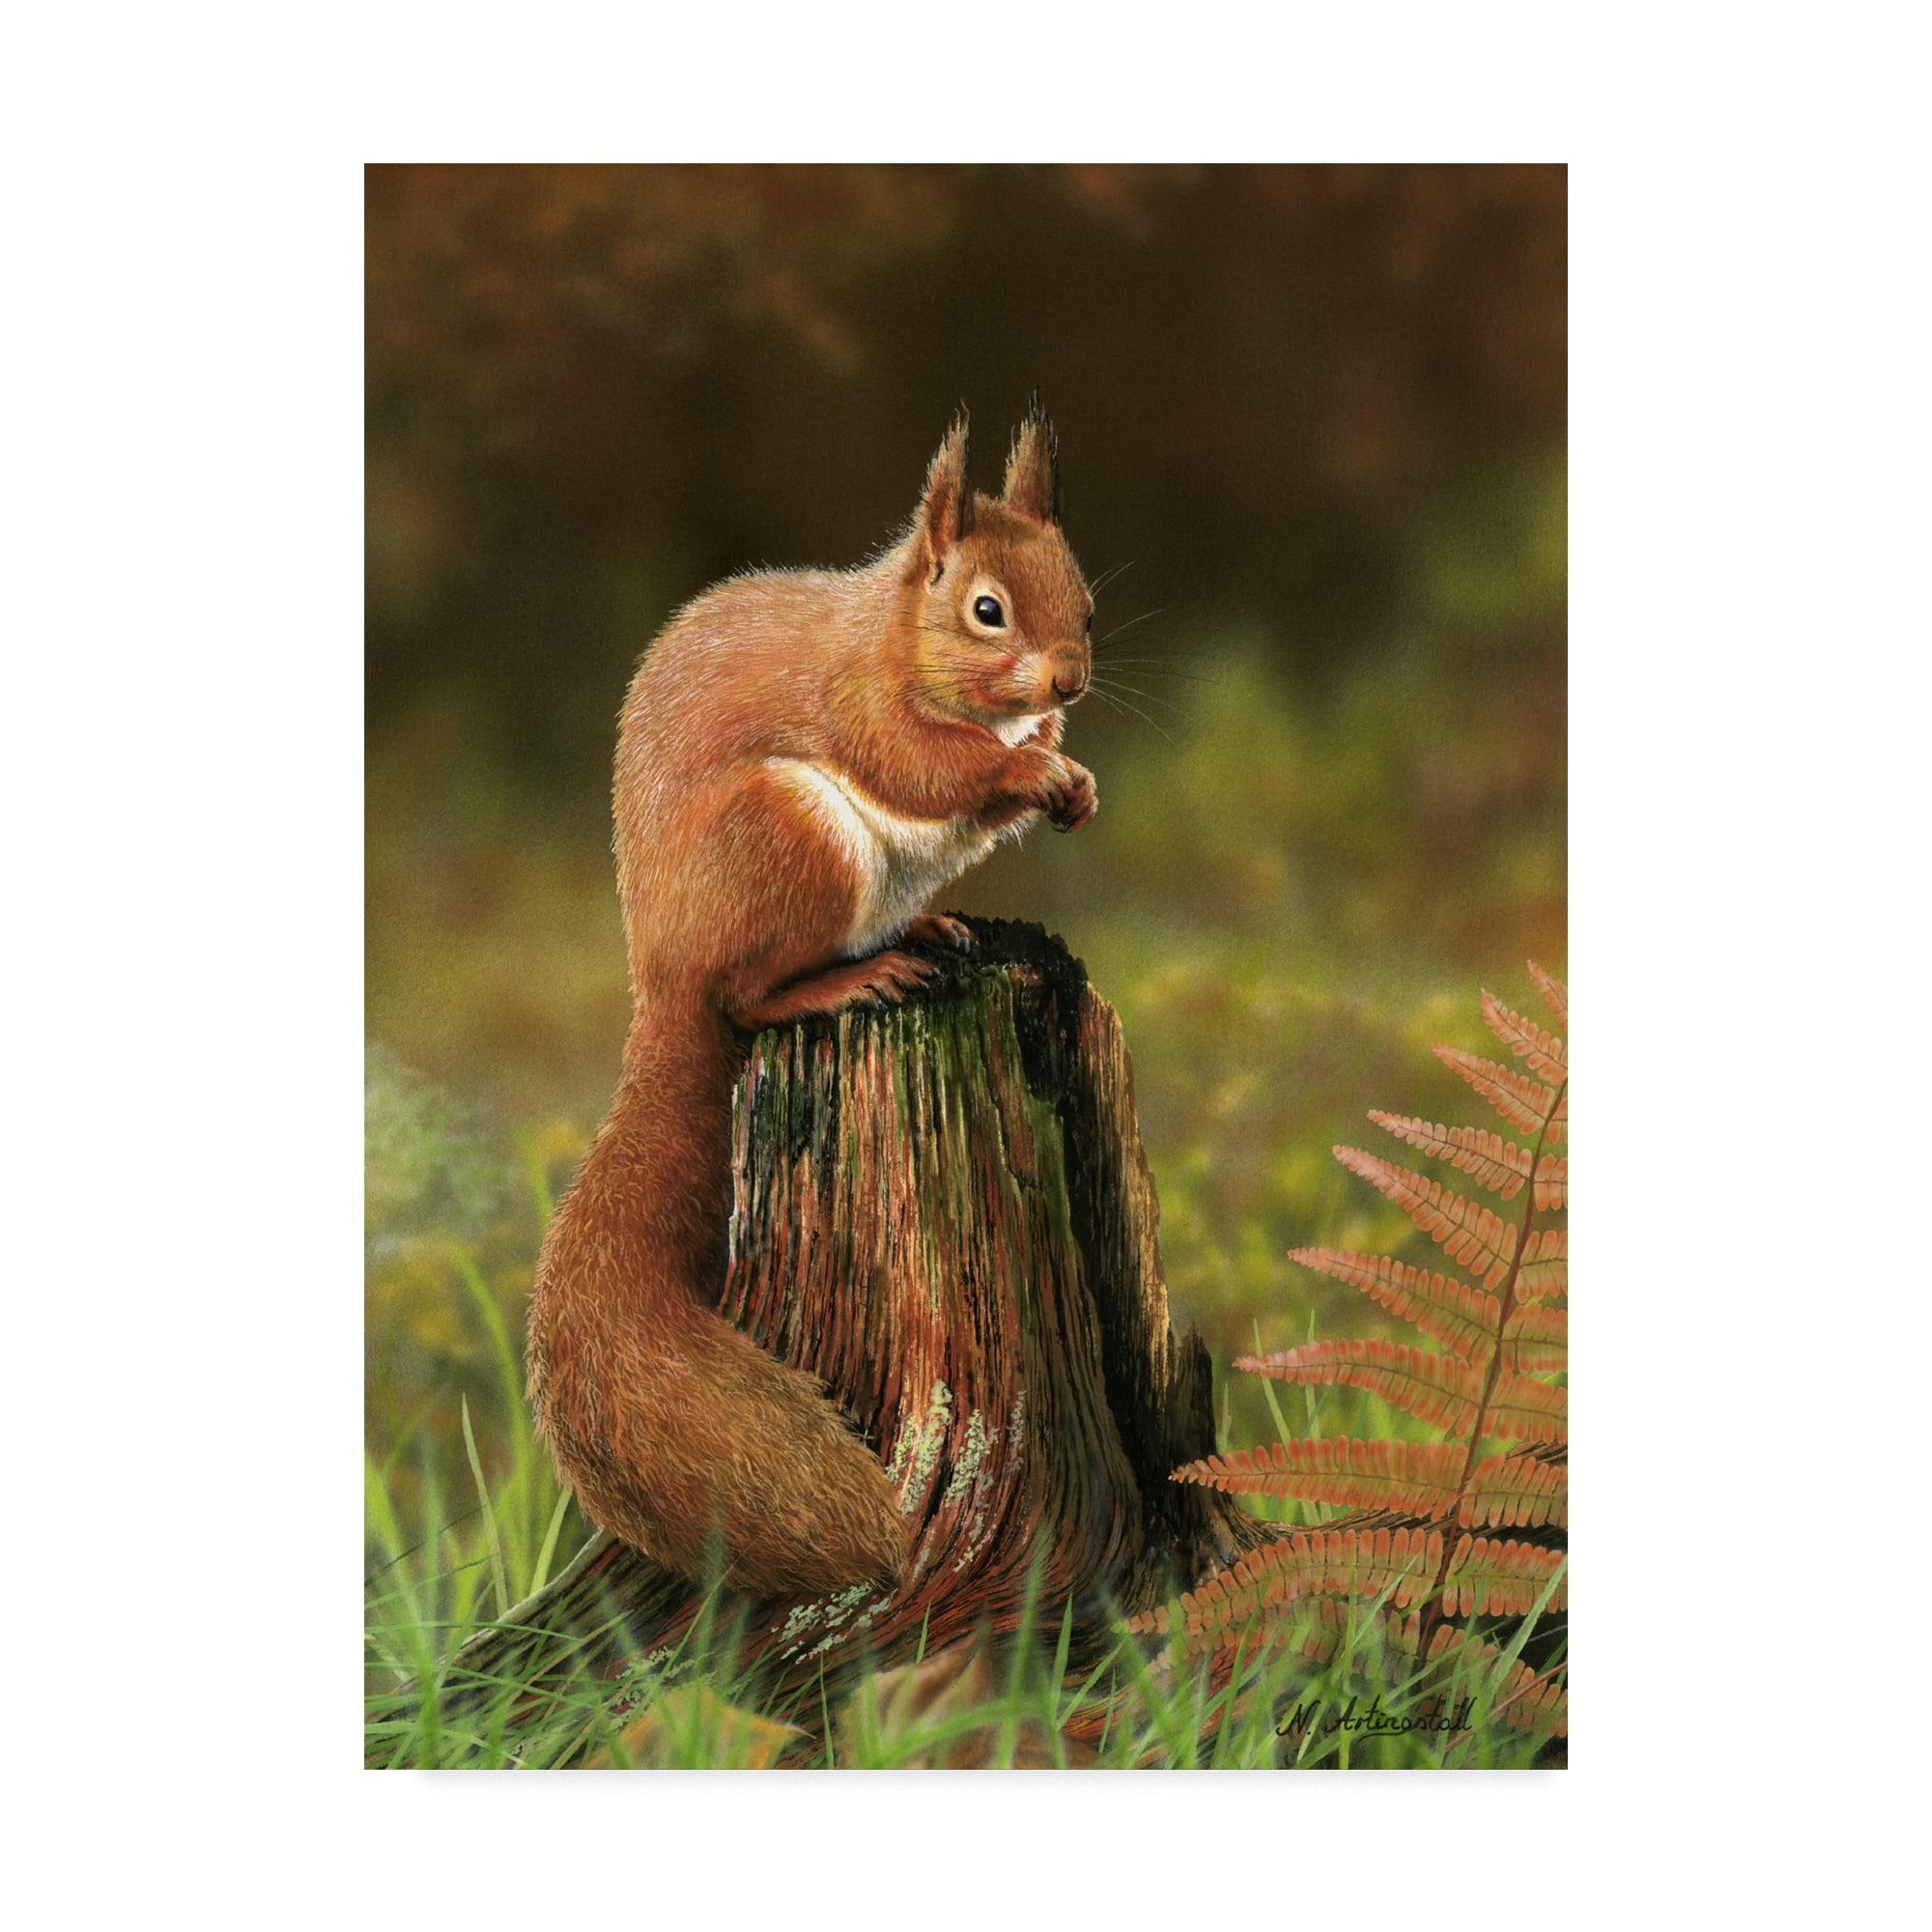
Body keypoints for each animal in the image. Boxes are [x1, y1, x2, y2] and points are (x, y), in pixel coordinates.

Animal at [526, 403, 1098, 1598]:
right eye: (985, 609)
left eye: (1084, 596)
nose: (1069, 683)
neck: (897, 636)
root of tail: (661, 984)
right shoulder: (859, 704)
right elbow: (925, 768)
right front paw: (1021, 773)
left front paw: (1066, 776)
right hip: (789, 841)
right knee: (747, 998)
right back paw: (846, 975)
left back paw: (921, 931)